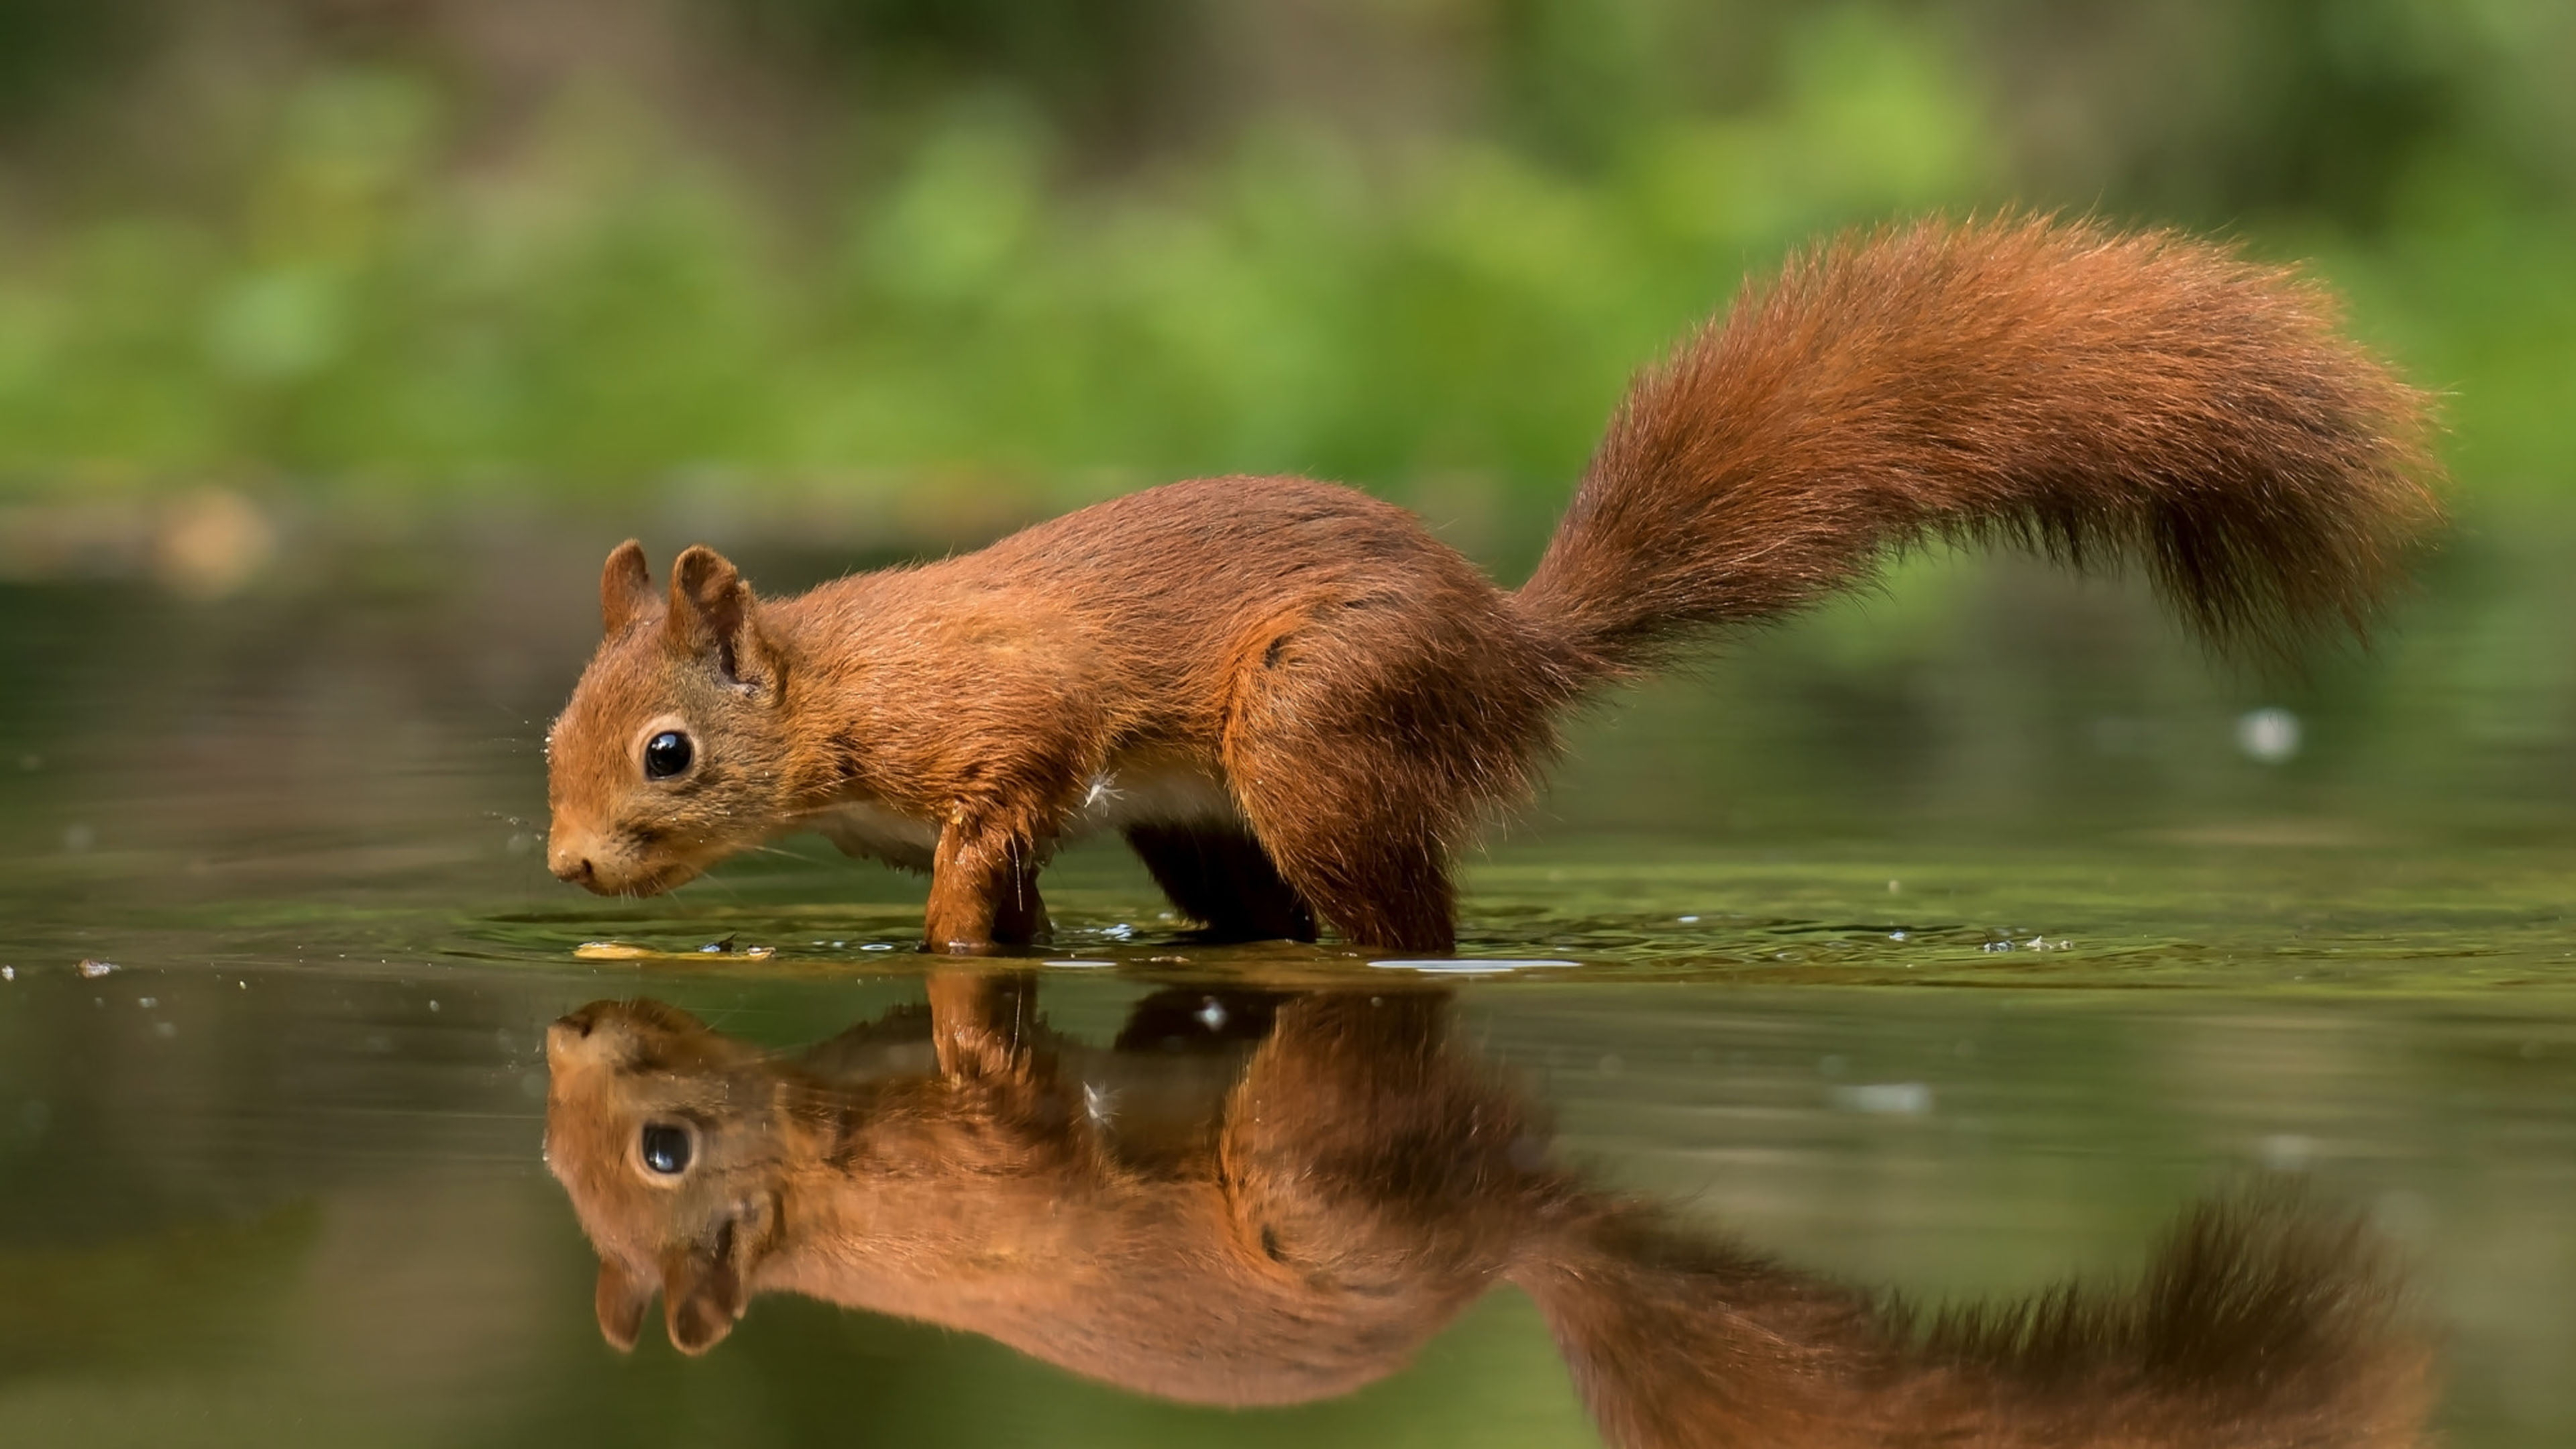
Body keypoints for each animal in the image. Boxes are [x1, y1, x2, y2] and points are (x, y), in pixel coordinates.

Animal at [538, 209, 2432, 943]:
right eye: (555, 735)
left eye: (667, 754)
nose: (565, 870)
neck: (839, 682)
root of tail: (1513, 642)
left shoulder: (1003, 726)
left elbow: (990, 828)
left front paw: (947, 941)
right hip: (1204, 817)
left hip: (1317, 724)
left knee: (1408, 927)